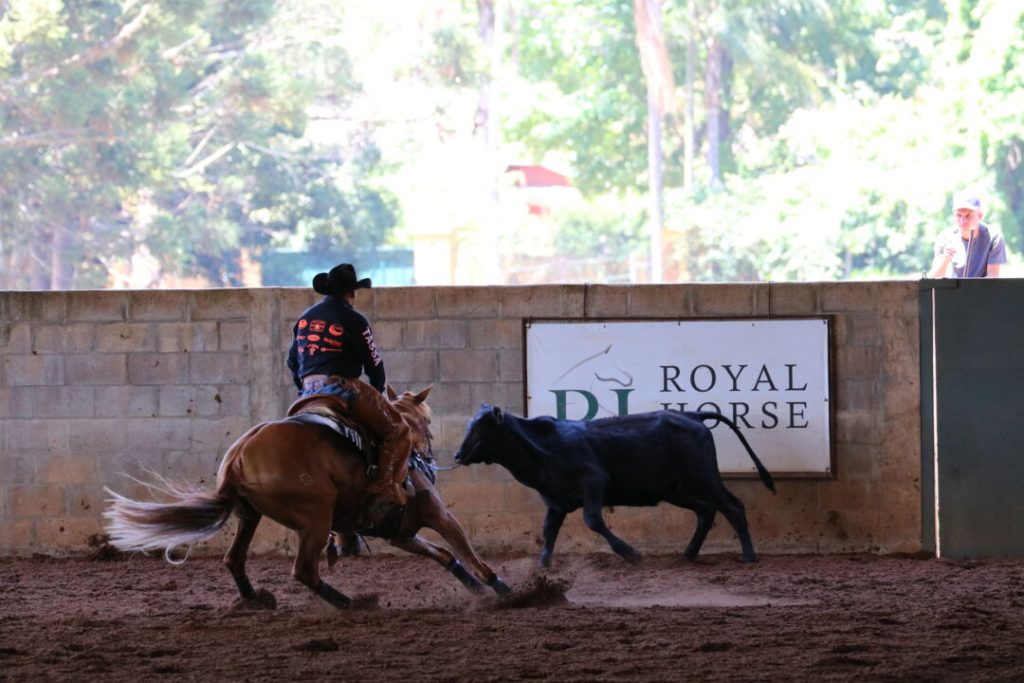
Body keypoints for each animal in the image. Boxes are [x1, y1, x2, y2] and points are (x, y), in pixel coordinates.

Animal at [101, 387, 509, 606]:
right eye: (427, 425)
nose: (430, 456)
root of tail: (238, 455)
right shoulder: (436, 514)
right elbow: (465, 549)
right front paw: (500, 587)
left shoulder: (400, 533)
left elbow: (444, 555)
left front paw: (476, 589)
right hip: (314, 519)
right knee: (303, 570)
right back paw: (350, 603)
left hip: (250, 516)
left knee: (234, 559)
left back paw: (256, 601)